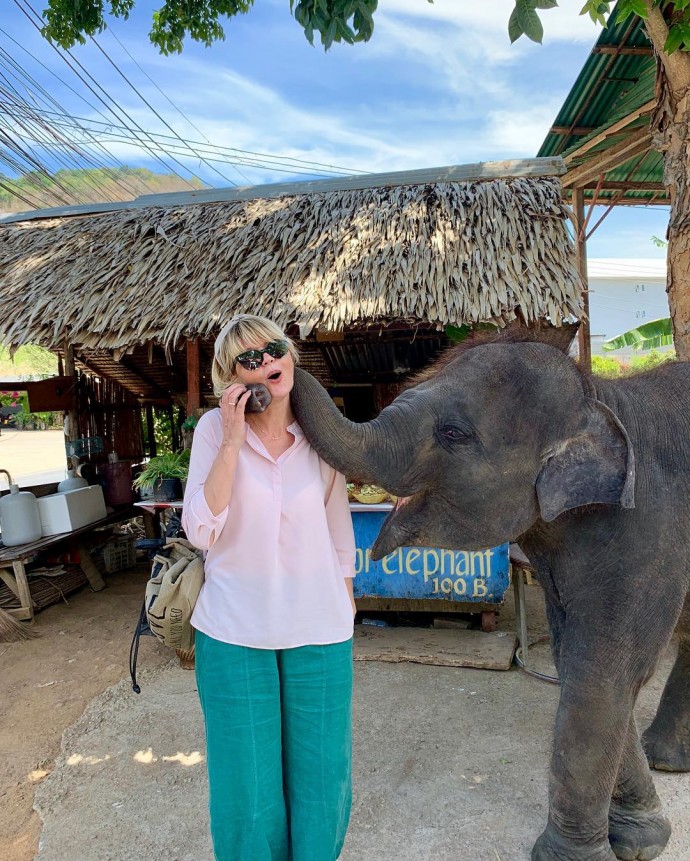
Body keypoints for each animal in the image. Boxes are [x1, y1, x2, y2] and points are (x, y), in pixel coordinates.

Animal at [290, 330, 688, 860]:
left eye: (454, 433)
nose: (273, 356)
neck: (599, 397)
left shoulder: (650, 536)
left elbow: (605, 671)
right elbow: (573, 658)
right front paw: (640, 839)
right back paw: (668, 759)